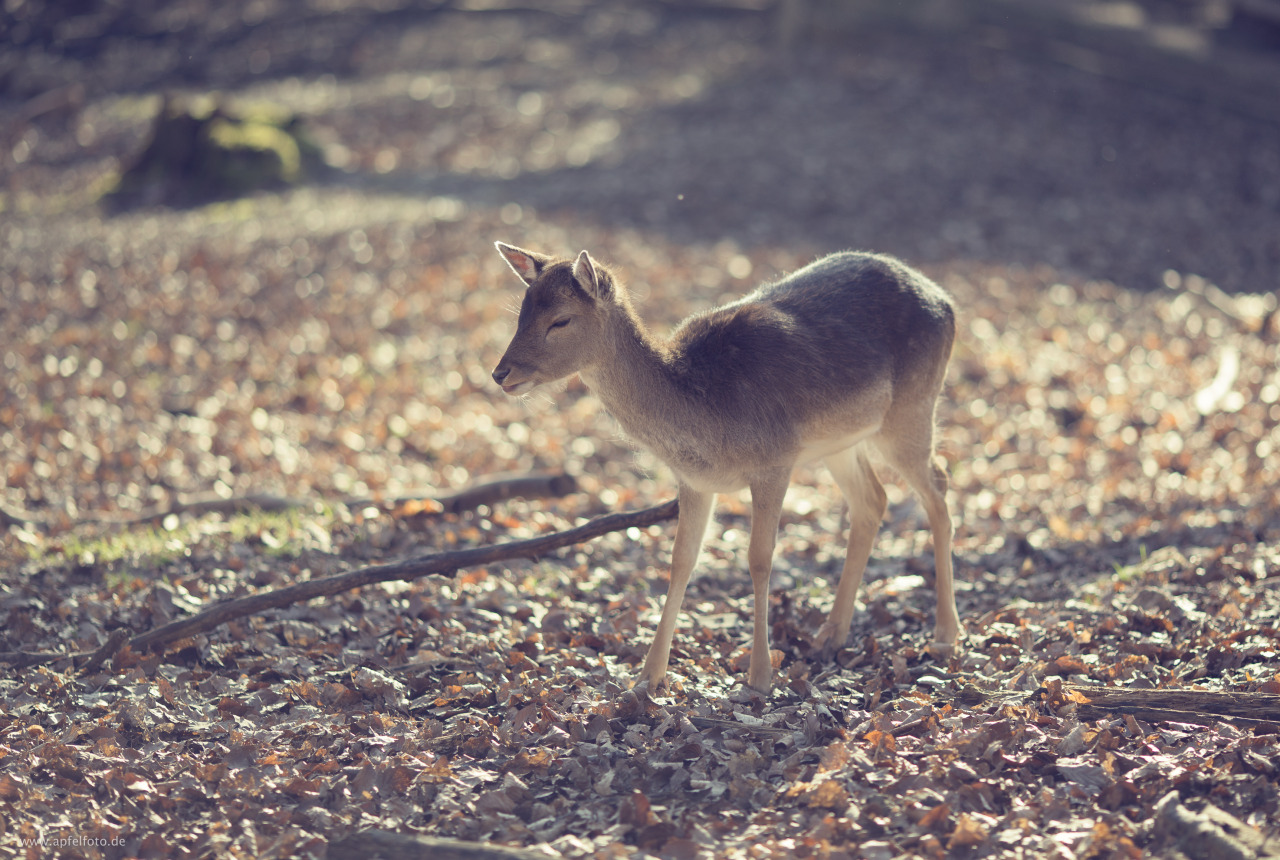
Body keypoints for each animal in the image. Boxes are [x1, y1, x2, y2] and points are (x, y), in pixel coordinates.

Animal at [490, 242, 961, 693]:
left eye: (561, 321)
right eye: (521, 313)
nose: (500, 373)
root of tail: (946, 300)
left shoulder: (775, 460)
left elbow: (759, 558)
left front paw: (759, 676)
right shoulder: (696, 482)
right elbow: (681, 560)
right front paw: (647, 677)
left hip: (912, 409)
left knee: (939, 488)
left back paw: (945, 633)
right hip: (841, 443)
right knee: (873, 500)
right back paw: (831, 634)